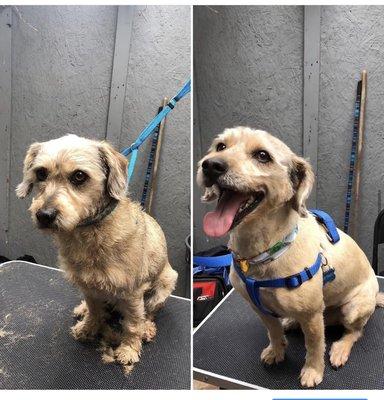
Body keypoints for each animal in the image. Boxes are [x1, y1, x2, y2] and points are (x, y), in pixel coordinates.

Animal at [15, 135, 177, 376]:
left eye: (79, 176)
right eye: (41, 173)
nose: (44, 215)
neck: (89, 233)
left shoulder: (132, 293)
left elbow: (132, 324)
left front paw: (129, 349)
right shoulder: (88, 287)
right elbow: (94, 310)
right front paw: (88, 327)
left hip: (164, 284)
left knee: (149, 312)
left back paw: (147, 328)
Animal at [198, 126, 384, 388]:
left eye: (263, 155)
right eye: (221, 146)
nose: (211, 165)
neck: (263, 252)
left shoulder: (313, 317)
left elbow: (315, 346)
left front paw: (313, 371)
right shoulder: (259, 308)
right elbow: (273, 331)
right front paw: (277, 350)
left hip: (353, 308)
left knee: (355, 332)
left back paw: (340, 349)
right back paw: (291, 322)